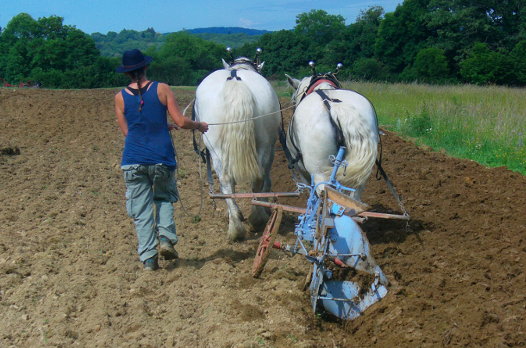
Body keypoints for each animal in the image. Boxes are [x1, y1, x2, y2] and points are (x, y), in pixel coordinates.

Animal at [195, 57, 284, 242]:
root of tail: (235, 79)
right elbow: (266, 181)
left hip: (216, 149)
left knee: (228, 181)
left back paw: (238, 226)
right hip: (263, 144)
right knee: (254, 178)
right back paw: (252, 220)